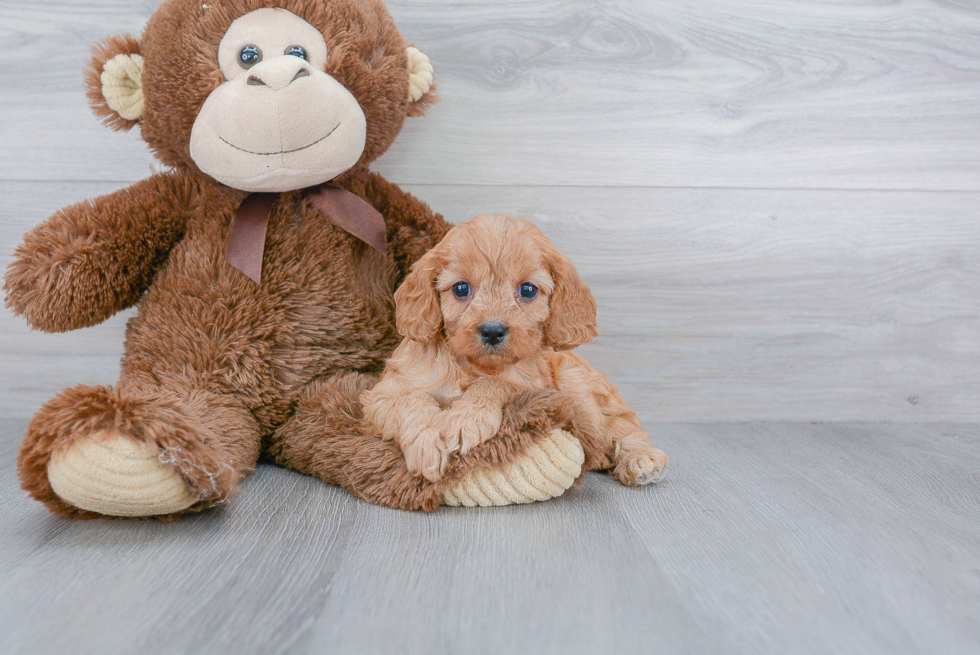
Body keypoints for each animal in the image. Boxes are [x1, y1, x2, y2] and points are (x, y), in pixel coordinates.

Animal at [364, 215, 668, 486]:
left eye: (528, 290)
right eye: (461, 288)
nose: (492, 331)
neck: (471, 365)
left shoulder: (533, 387)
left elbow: (494, 385)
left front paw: (465, 419)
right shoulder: (384, 393)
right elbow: (411, 401)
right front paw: (427, 443)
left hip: (578, 384)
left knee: (621, 427)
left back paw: (641, 460)